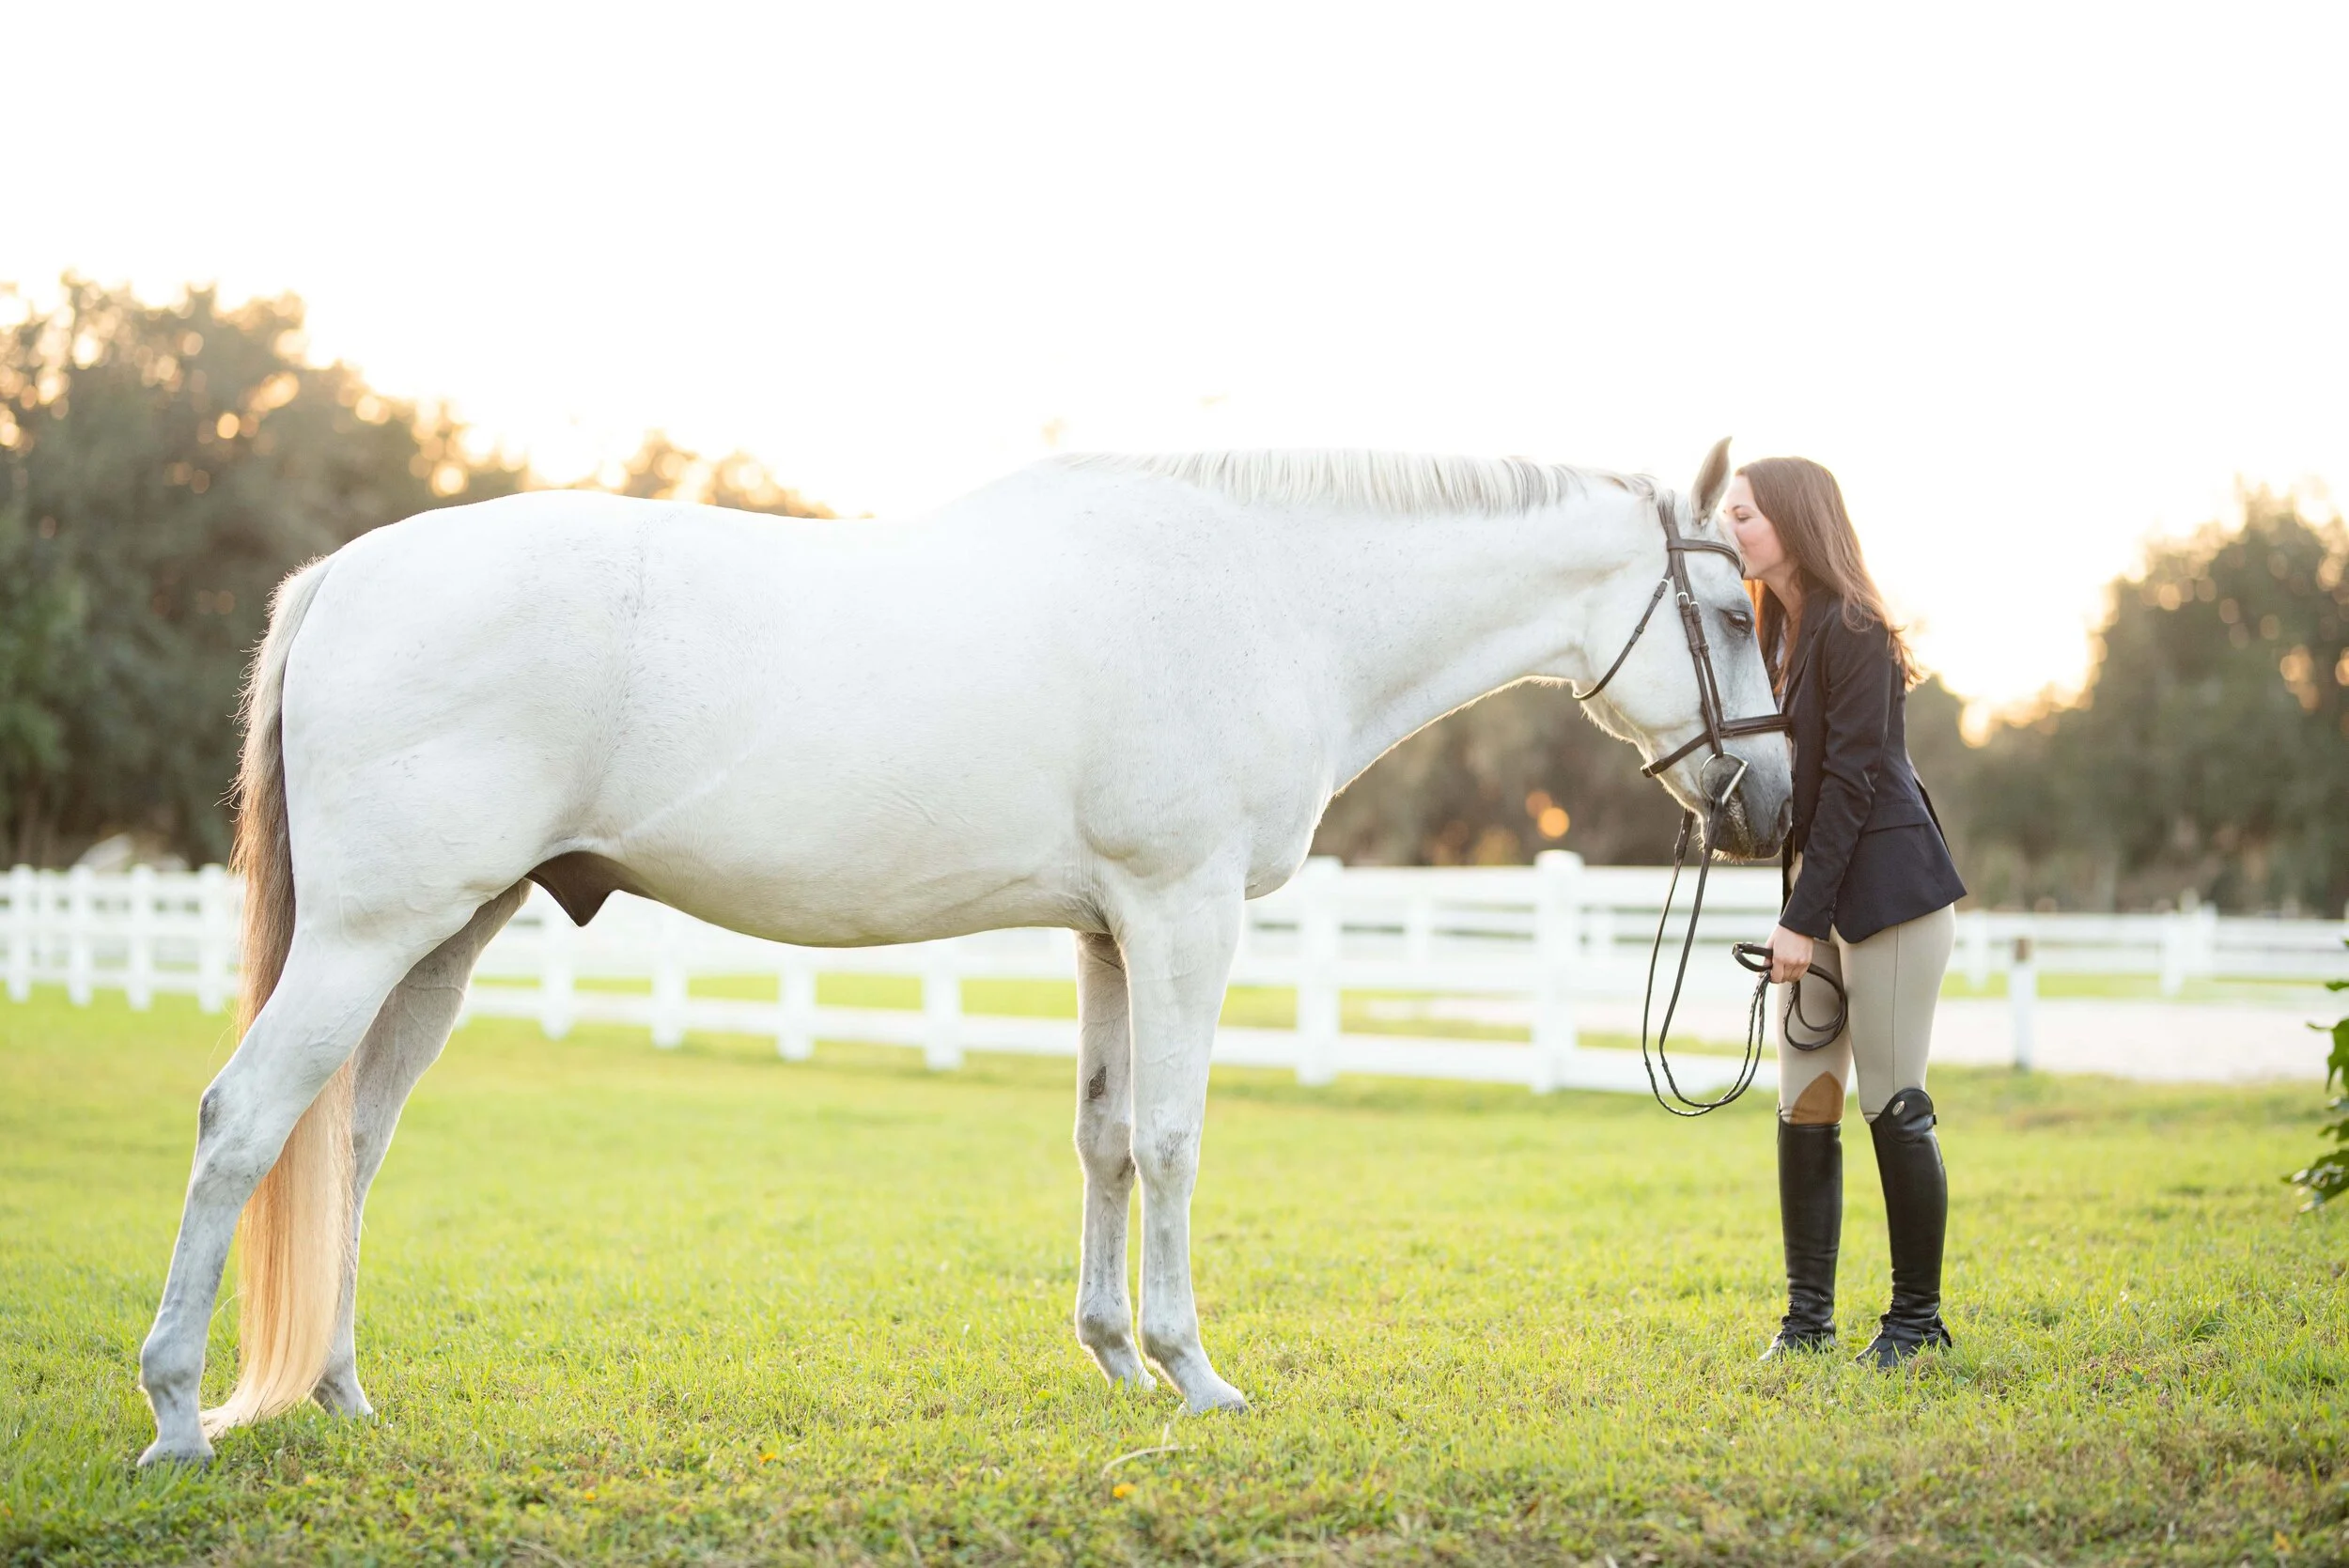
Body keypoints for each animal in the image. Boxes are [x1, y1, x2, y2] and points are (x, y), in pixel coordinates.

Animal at [135, 438, 1792, 1466]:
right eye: (1726, 608)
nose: (1771, 802)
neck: (1266, 594)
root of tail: (344, 574)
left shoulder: (1110, 928)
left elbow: (1106, 1139)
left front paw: (1114, 1356)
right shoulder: (1185, 911)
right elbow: (1176, 1139)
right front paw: (1195, 1374)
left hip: (443, 941)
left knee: (348, 1143)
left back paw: (341, 1393)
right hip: (372, 936)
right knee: (242, 1121)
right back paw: (175, 1417)